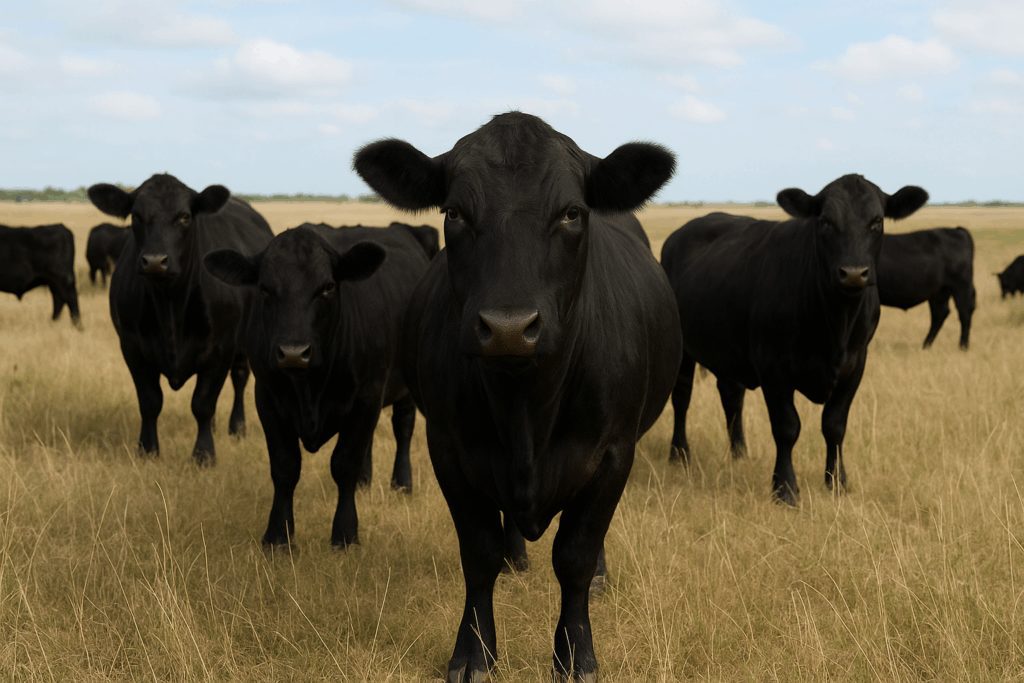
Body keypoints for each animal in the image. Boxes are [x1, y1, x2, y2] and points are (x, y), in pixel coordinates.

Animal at [87, 173, 273, 464]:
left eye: (185, 217)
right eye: (136, 215)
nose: (154, 261)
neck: (170, 306)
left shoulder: (221, 349)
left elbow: (203, 403)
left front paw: (204, 455)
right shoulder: (132, 347)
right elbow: (150, 401)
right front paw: (147, 450)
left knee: (240, 378)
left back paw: (236, 428)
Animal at [204, 222, 437, 548]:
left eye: (327, 287)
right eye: (264, 288)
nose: (293, 352)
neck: (309, 388)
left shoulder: (367, 397)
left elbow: (344, 463)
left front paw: (345, 533)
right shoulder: (268, 400)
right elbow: (285, 467)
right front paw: (278, 536)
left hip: (403, 390)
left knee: (402, 429)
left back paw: (402, 483)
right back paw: (365, 482)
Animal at [354, 112, 681, 682]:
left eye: (572, 213)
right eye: (455, 212)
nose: (508, 328)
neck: (526, 408)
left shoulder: (614, 453)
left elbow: (575, 554)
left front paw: (576, 656)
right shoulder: (449, 448)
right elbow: (478, 554)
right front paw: (473, 652)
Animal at [662, 174, 928, 505]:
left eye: (876, 221)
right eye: (825, 221)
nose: (854, 273)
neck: (835, 325)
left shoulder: (855, 365)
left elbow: (835, 424)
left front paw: (837, 481)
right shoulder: (773, 367)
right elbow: (787, 427)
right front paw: (785, 488)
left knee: (731, 395)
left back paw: (739, 453)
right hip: (684, 349)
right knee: (682, 397)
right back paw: (679, 453)